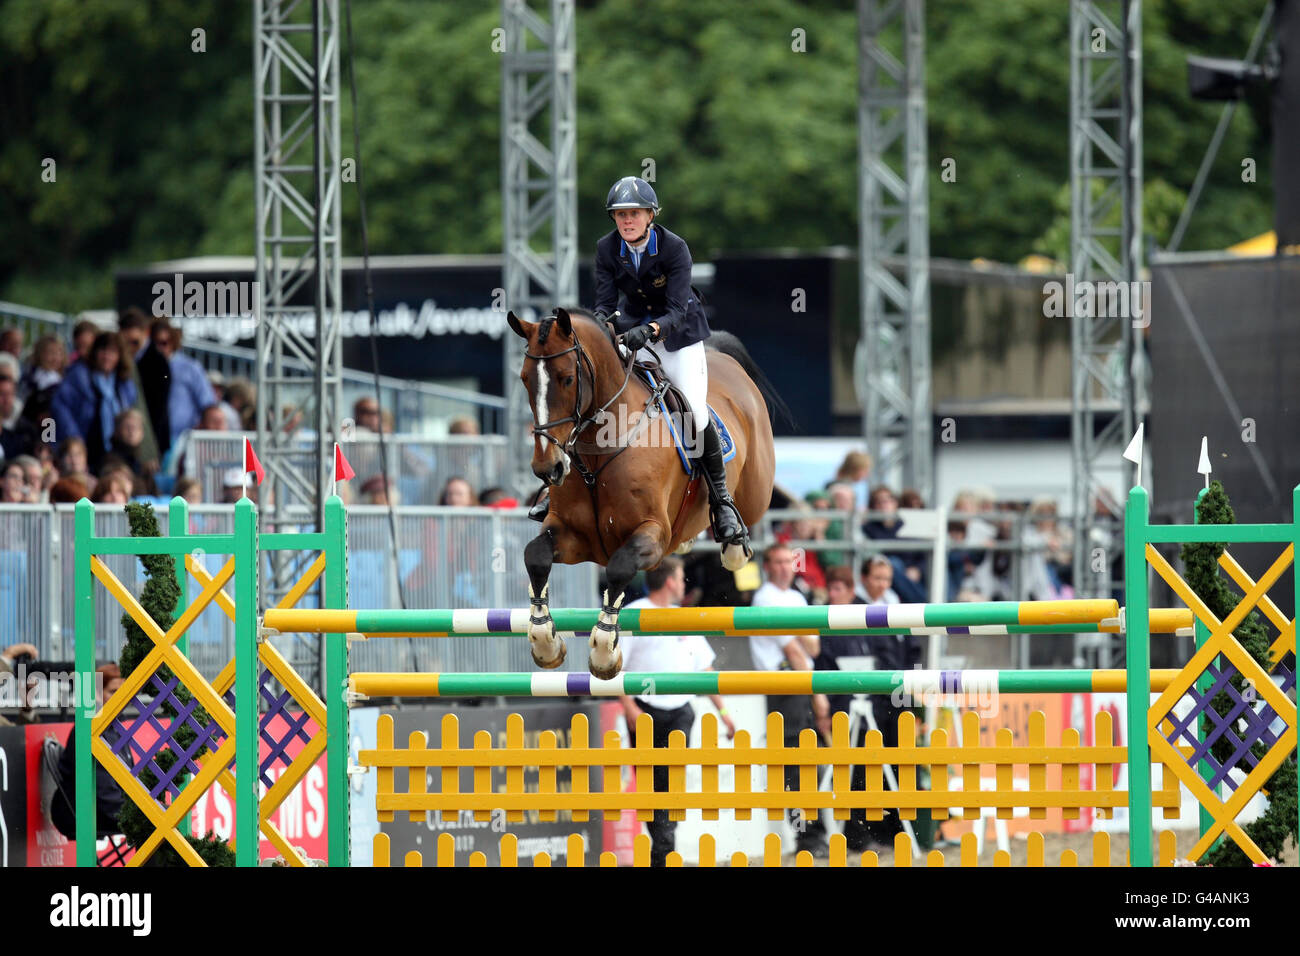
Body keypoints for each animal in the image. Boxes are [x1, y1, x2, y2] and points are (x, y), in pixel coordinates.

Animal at [506, 308, 780, 681]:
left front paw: (605, 650)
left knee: (742, 513)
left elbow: (620, 568)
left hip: (756, 492)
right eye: (524, 379)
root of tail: (724, 359)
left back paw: (731, 535)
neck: (599, 451)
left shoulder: (653, 535)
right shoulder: (574, 537)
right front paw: (544, 641)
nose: (547, 468)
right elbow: (535, 555)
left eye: (566, 379)